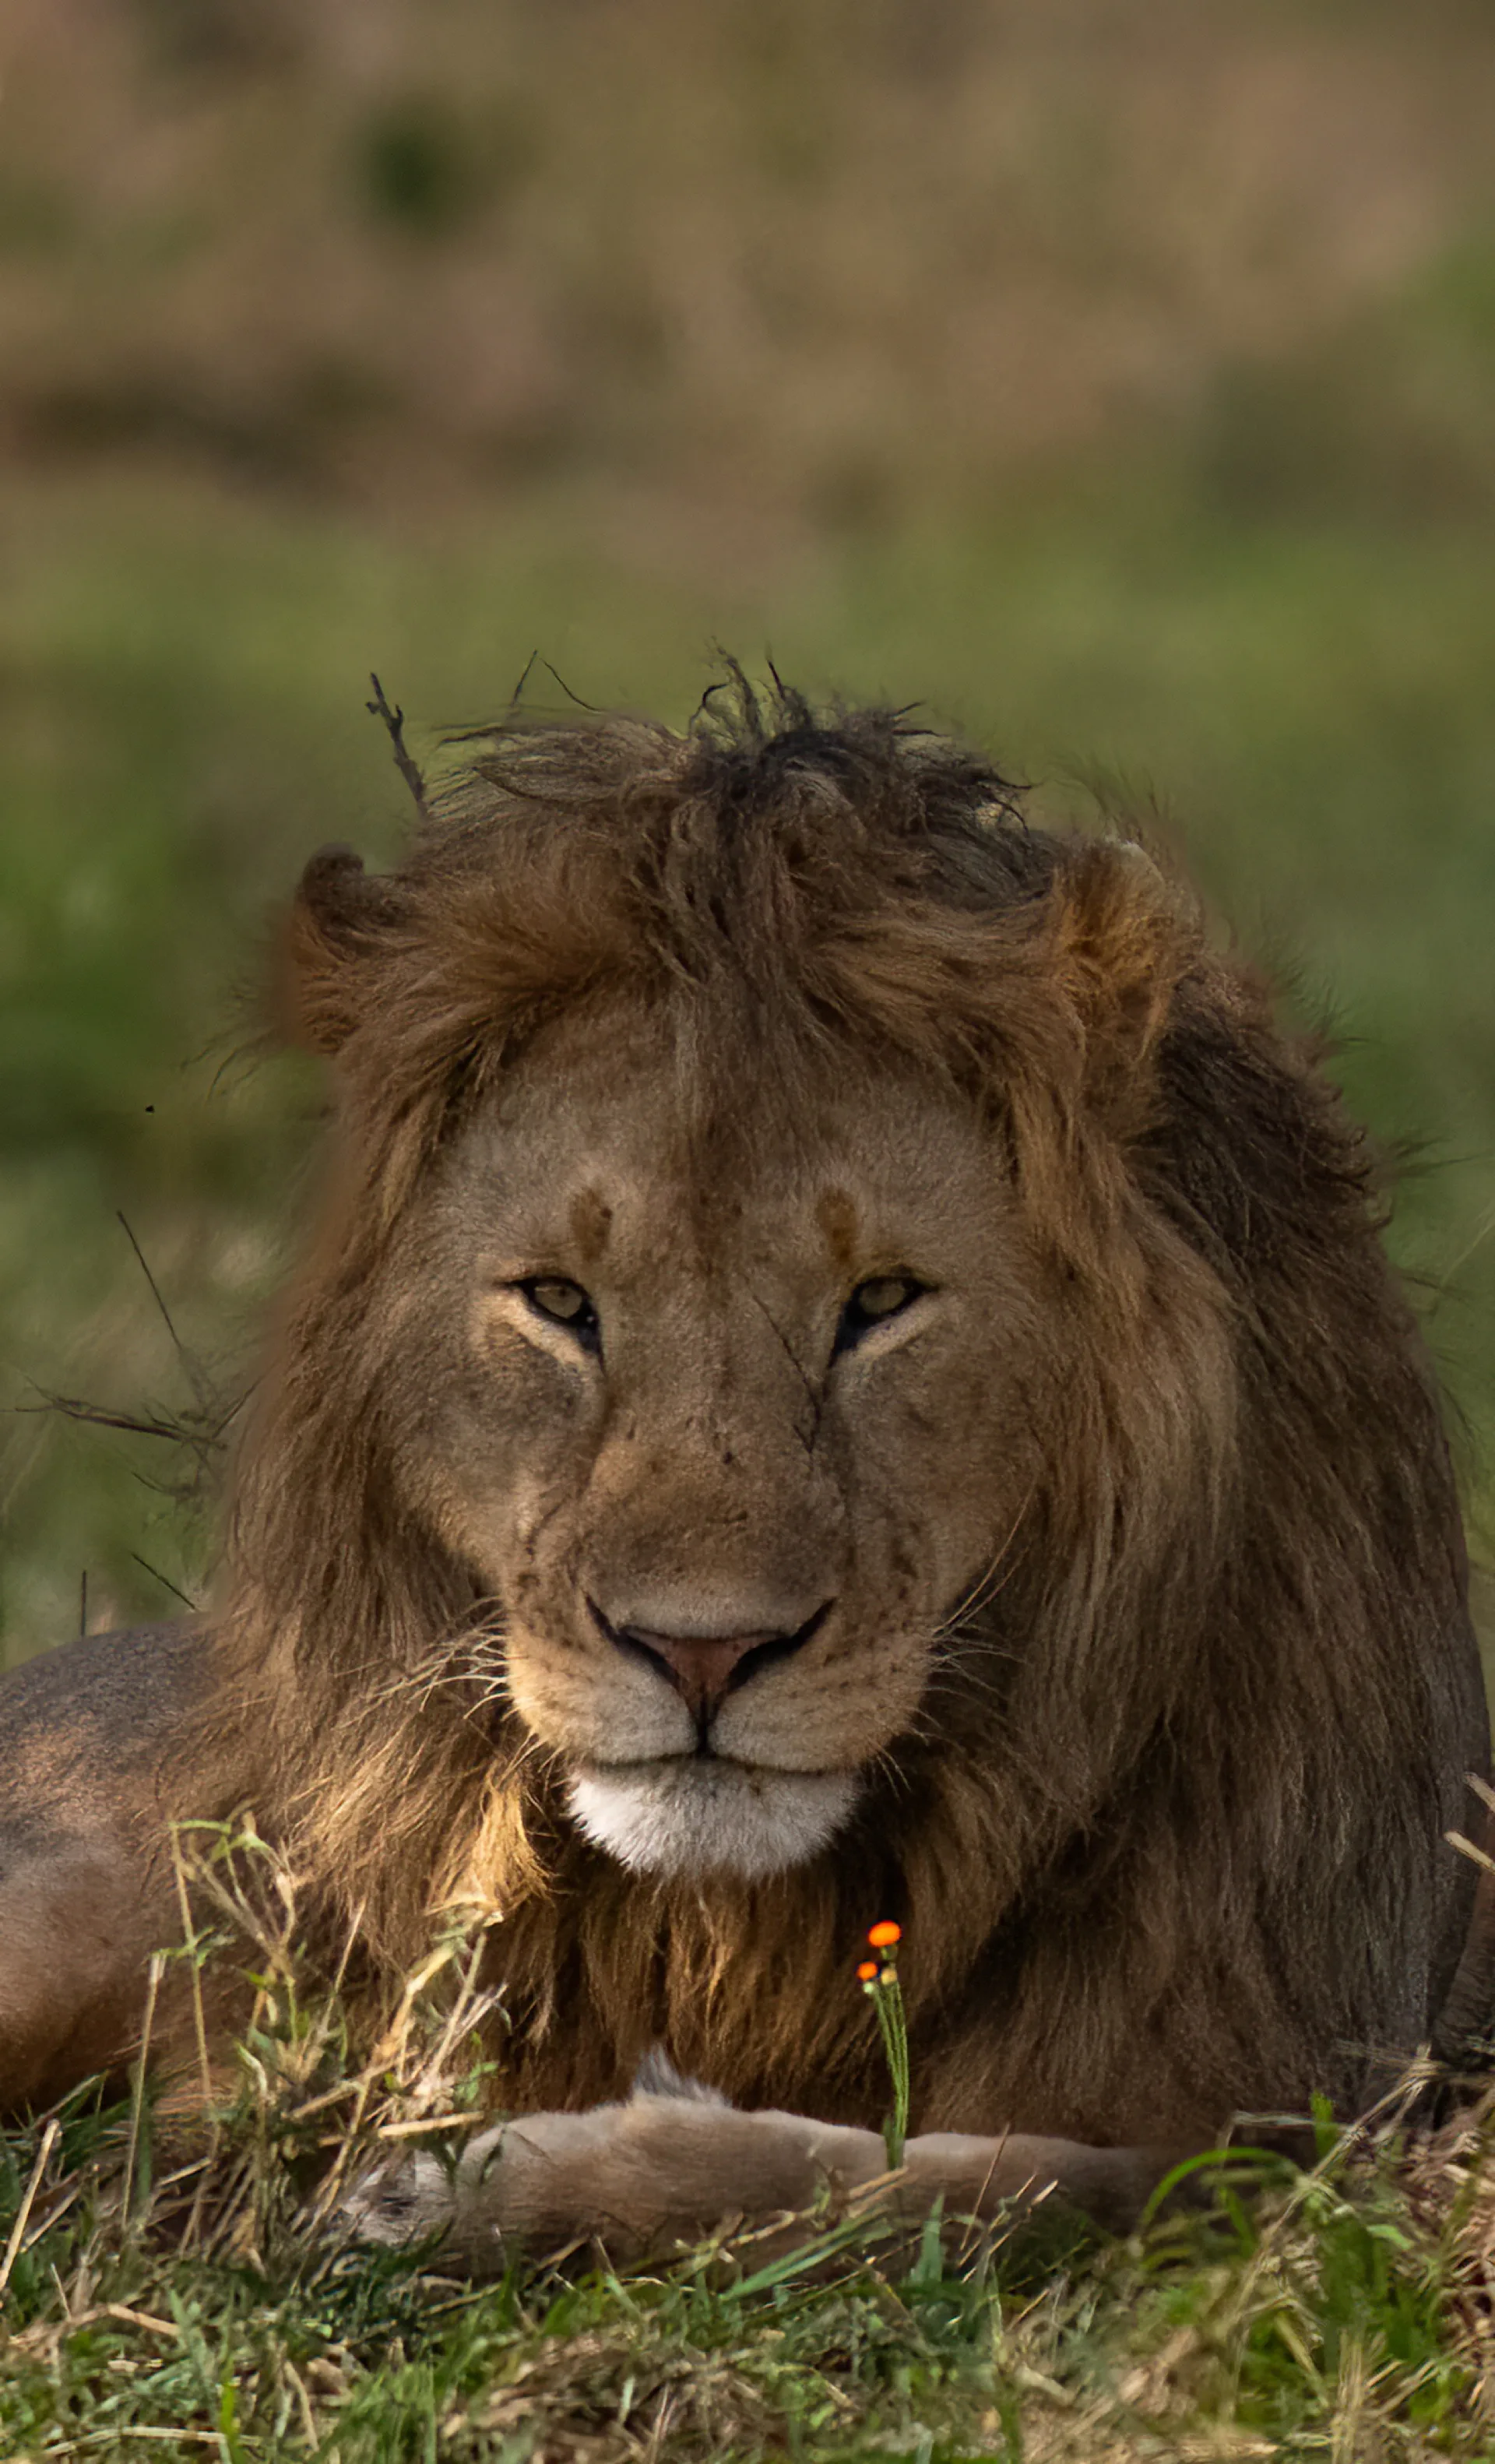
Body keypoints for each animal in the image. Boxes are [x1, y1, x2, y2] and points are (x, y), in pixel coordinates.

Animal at [0, 682, 1488, 2267]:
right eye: (561, 1302)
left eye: (882, 1301)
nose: (701, 1652)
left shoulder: (1305, 2124)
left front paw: (474, 2185)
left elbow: (982, 2182)